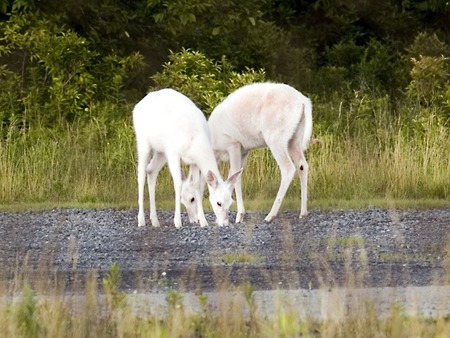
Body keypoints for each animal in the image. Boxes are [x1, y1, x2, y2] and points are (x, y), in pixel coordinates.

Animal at [133, 88, 243, 228]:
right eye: (218, 203)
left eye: (231, 202)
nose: (225, 223)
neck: (194, 138)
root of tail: (137, 106)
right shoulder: (173, 152)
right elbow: (177, 183)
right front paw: (177, 222)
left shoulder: (193, 161)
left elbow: (197, 185)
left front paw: (203, 221)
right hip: (143, 142)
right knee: (141, 174)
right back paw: (141, 220)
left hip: (161, 151)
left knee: (151, 170)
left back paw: (155, 220)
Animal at [208, 82, 312, 223]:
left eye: (218, 203)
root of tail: (304, 102)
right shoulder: (244, 150)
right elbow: (232, 176)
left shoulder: (233, 144)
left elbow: (236, 177)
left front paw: (239, 216)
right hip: (296, 137)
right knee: (302, 165)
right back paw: (303, 212)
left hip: (276, 138)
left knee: (288, 168)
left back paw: (270, 215)